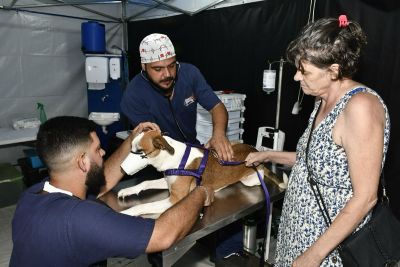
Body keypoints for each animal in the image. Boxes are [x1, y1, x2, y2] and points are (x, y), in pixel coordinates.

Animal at [117, 132, 282, 218]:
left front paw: (127, 213)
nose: (122, 168)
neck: (172, 156)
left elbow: (144, 205)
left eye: (140, 151)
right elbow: (145, 183)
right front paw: (127, 191)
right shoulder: (168, 181)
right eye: (131, 147)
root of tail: (256, 153)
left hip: (250, 180)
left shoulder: (176, 198)